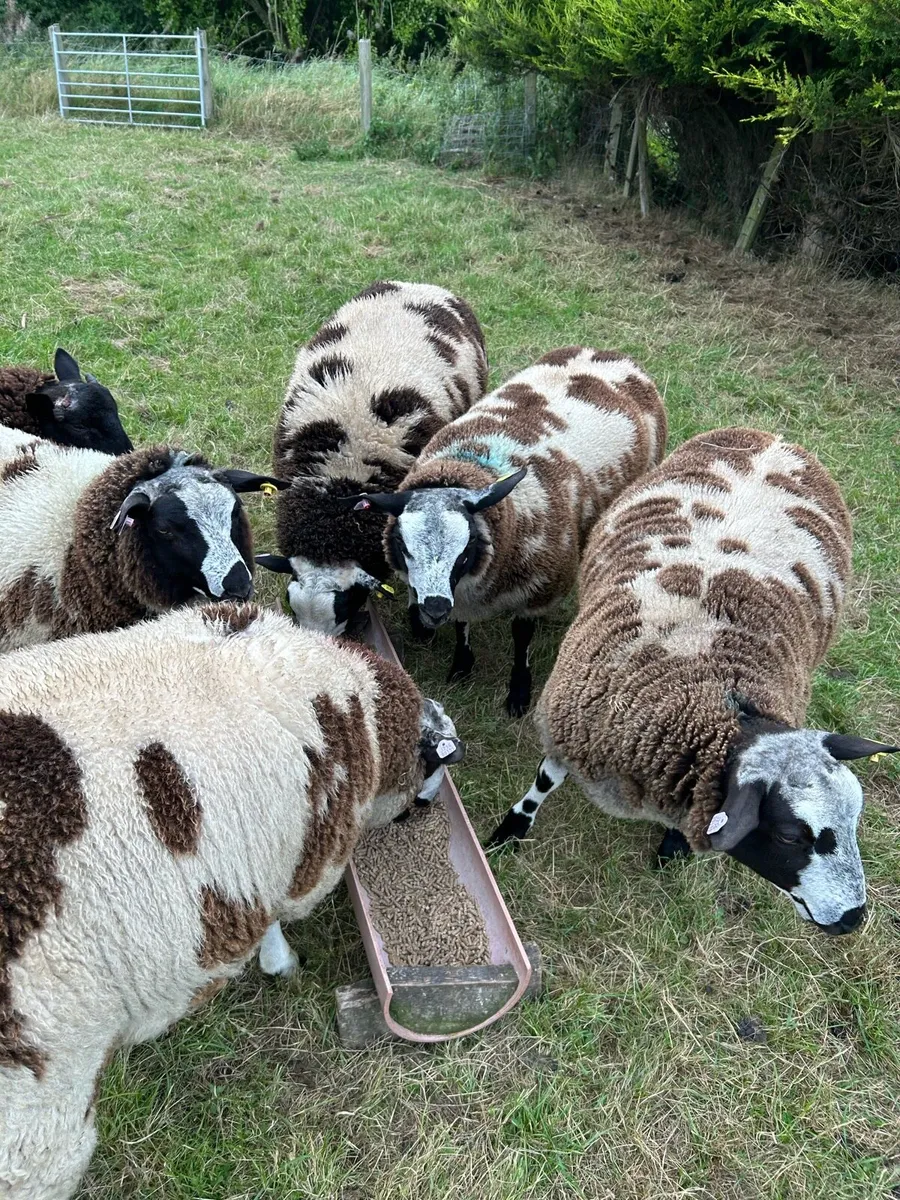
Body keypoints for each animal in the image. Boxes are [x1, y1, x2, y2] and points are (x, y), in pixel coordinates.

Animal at [0, 600, 464, 1200]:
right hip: (38, 1114)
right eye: (437, 768)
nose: (425, 811)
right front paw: (281, 963)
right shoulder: (296, 858)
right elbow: (273, 919)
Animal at [354, 346, 668, 715]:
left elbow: (522, 638)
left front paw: (518, 692)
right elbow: (462, 625)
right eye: (403, 547)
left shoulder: (536, 587)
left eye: (466, 549)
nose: (433, 609)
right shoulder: (464, 593)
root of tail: (607, 354)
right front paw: (461, 667)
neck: (470, 465)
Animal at [487, 427, 898, 932]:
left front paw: (672, 846)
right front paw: (510, 830)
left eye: (856, 817)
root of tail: (775, 436)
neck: (714, 701)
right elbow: (543, 784)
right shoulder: (571, 727)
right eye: (788, 835)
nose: (852, 918)